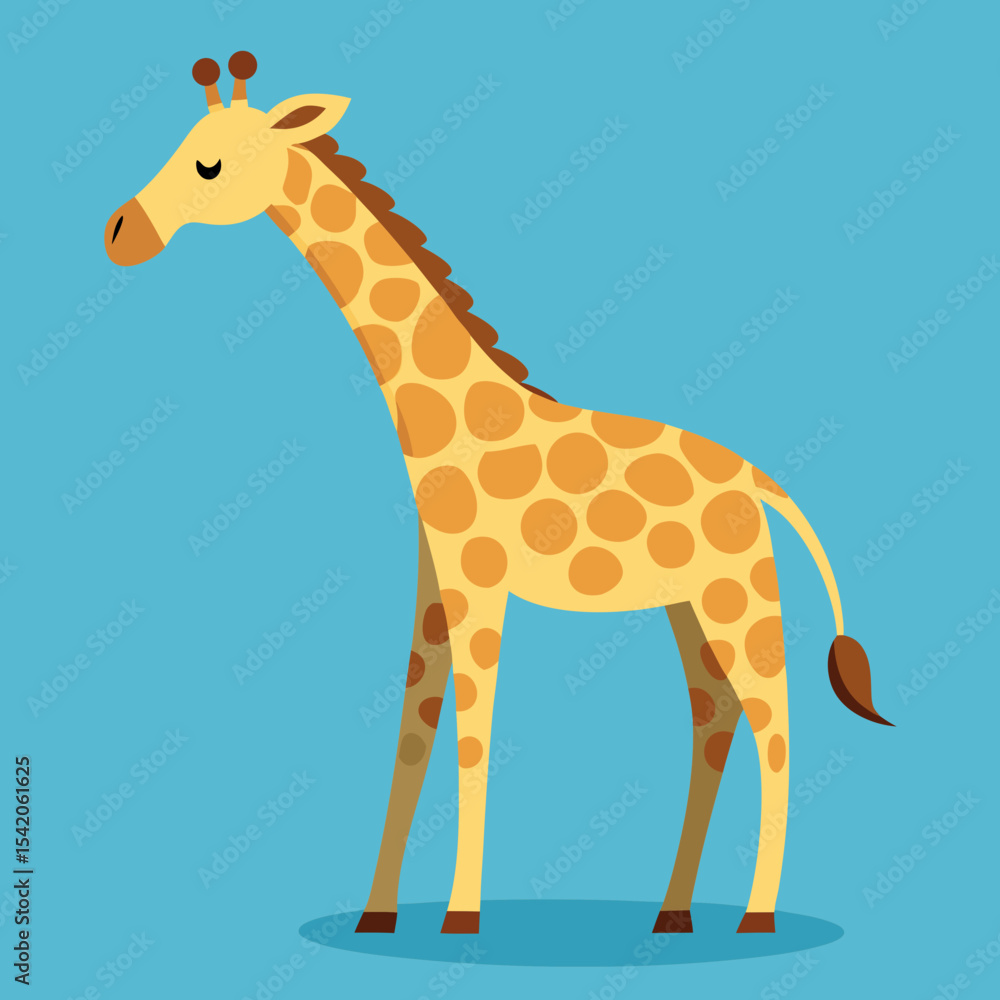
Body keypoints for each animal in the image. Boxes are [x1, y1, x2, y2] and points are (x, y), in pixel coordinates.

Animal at [105, 53, 891, 937]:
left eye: (209, 165)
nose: (119, 233)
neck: (444, 418)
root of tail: (761, 483)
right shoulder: (434, 590)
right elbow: (413, 734)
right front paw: (378, 913)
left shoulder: (482, 586)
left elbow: (472, 739)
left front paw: (460, 914)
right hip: (686, 606)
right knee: (713, 721)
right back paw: (672, 912)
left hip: (739, 597)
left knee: (775, 728)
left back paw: (755, 915)